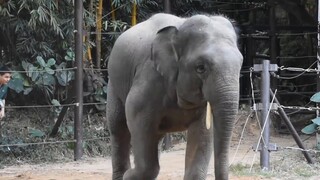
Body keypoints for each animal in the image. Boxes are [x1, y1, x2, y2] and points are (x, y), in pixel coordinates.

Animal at [107, 13, 242, 180]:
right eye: (201, 68)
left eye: (241, 63)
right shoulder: (148, 79)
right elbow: (137, 120)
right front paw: (129, 175)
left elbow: (203, 133)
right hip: (113, 85)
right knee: (118, 128)